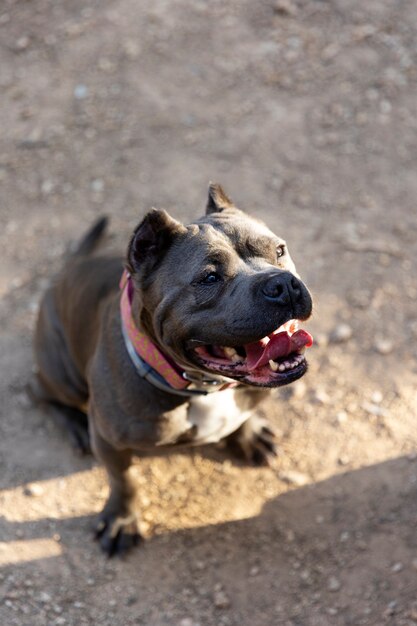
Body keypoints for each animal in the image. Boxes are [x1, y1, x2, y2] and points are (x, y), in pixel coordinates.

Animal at [33, 183, 312, 552]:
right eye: (209, 278)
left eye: (279, 250)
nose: (282, 285)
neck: (203, 386)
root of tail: (66, 271)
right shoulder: (109, 442)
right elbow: (124, 480)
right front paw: (122, 519)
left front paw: (248, 434)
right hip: (63, 373)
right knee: (38, 391)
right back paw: (74, 423)